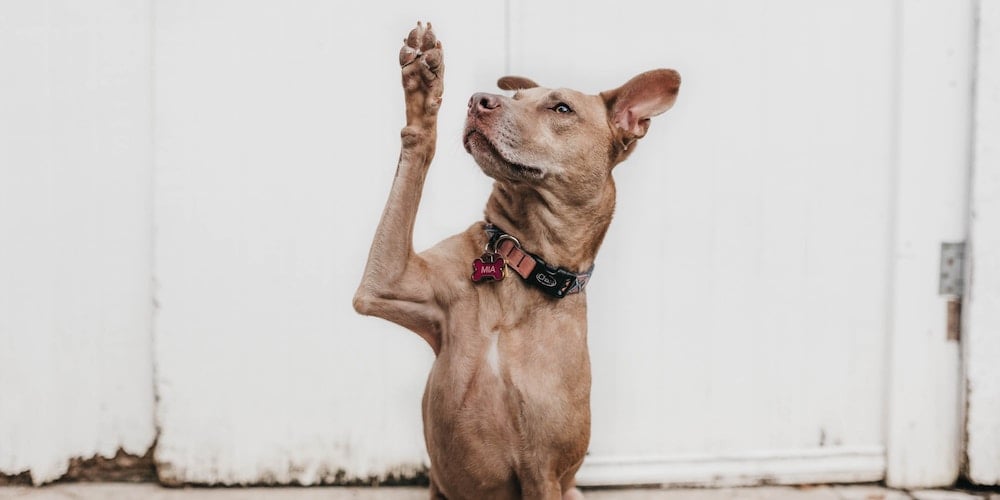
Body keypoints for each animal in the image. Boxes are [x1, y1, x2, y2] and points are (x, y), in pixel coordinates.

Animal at [354, 22, 680, 500]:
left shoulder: (543, 473)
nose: (478, 100)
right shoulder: (384, 283)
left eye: (561, 108)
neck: (521, 263)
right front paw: (423, 87)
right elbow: (416, 151)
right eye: (517, 97)